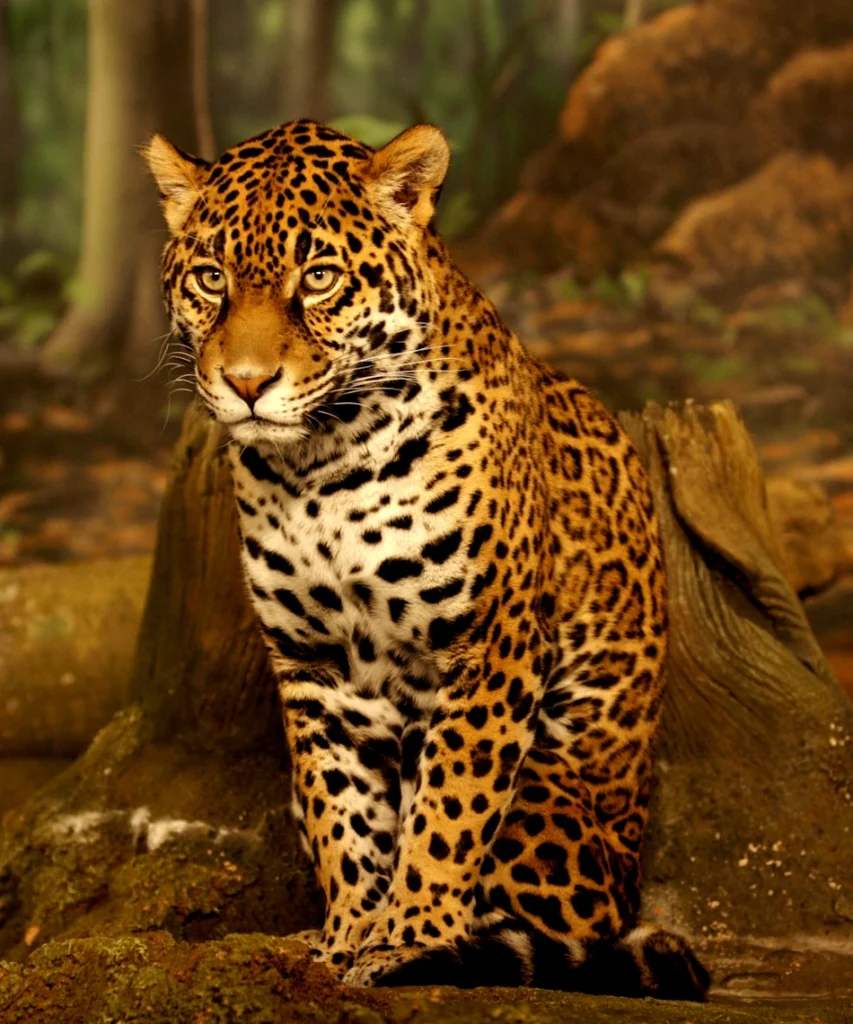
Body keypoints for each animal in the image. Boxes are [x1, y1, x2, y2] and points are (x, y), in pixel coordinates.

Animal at [144, 118, 709, 999]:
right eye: (211, 279)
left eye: (318, 278)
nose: (245, 383)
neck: (320, 468)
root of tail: (628, 873)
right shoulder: (312, 666)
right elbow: (341, 814)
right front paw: (346, 937)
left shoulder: (490, 649)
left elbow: (448, 810)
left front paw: (410, 938)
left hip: (553, 818)